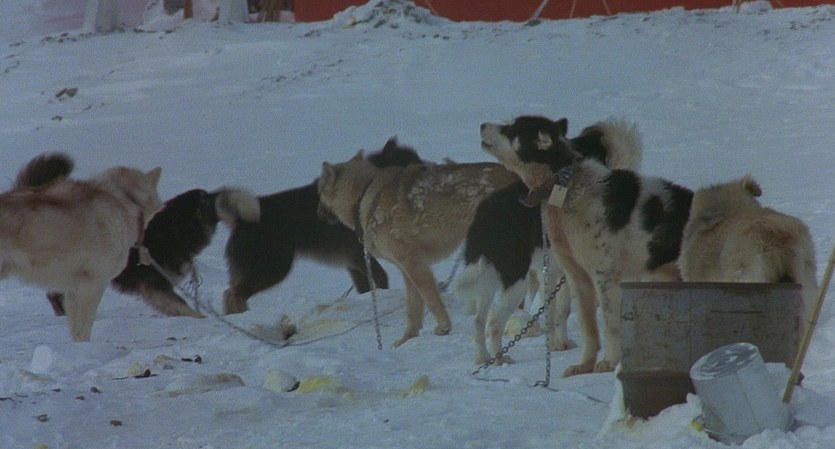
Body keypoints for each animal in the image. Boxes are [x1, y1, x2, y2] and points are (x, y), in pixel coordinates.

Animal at [222, 138, 424, 314]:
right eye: (413, 163)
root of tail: (240, 220)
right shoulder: (358, 255)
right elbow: (381, 278)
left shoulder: (353, 261)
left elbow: (366, 287)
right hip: (272, 268)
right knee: (233, 294)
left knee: (231, 293)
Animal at [318, 143, 519, 347]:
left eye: (319, 192)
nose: (317, 214)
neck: (364, 195)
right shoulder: (406, 268)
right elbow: (413, 309)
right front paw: (407, 339)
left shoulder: (414, 264)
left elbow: (431, 300)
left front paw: (444, 328)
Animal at [456, 119, 642, 365]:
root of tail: (484, 214)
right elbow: (562, 311)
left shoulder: (556, 273)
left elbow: (555, 312)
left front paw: (556, 344)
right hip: (515, 281)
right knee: (494, 323)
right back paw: (501, 359)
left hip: (488, 279)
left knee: (479, 321)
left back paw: (483, 358)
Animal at [480, 115, 691, 376]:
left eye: (511, 129)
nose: (482, 125)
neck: (565, 186)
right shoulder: (577, 277)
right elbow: (587, 327)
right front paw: (585, 365)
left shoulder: (604, 276)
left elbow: (610, 324)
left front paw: (610, 362)